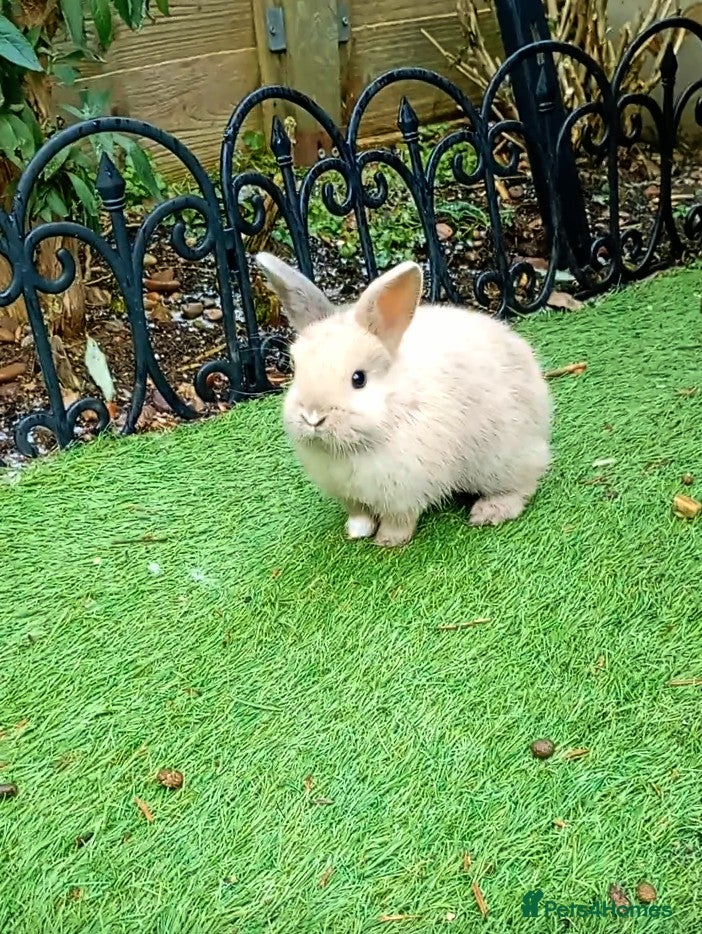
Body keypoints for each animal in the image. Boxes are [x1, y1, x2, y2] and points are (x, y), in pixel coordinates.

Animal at [255, 252, 552, 547]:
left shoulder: (403, 493)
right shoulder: (349, 496)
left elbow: (399, 520)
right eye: (296, 369)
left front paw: (387, 542)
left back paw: (490, 511)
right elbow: (360, 515)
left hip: (500, 460)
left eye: (358, 379)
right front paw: (356, 532)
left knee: (526, 481)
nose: (312, 417)